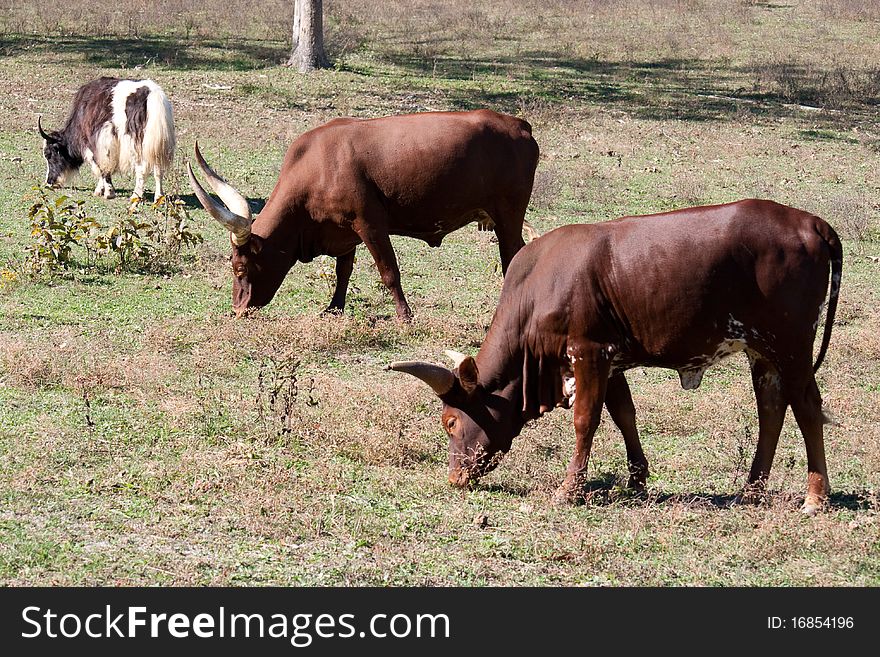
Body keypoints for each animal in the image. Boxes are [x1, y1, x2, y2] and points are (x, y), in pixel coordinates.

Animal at [189, 109, 540, 320]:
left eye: (239, 268)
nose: (238, 310)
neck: (317, 166)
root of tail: (518, 125)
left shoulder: (370, 225)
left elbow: (389, 271)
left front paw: (404, 316)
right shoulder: (345, 232)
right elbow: (343, 270)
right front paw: (334, 307)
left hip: (508, 218)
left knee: (513, 259)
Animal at [388, 197, 844, 516]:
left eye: (450, 422)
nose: (455, 478)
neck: (538, 287)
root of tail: (809, 222)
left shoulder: (589, 353)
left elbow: (585, 420)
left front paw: (569, 489)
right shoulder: (611, 360)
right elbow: (623, 412)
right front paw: (637, 478)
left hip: (791, 345)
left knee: (806, 407)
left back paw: (815, 495)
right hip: (762, 352)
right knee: (771, 409)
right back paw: (751, 491)